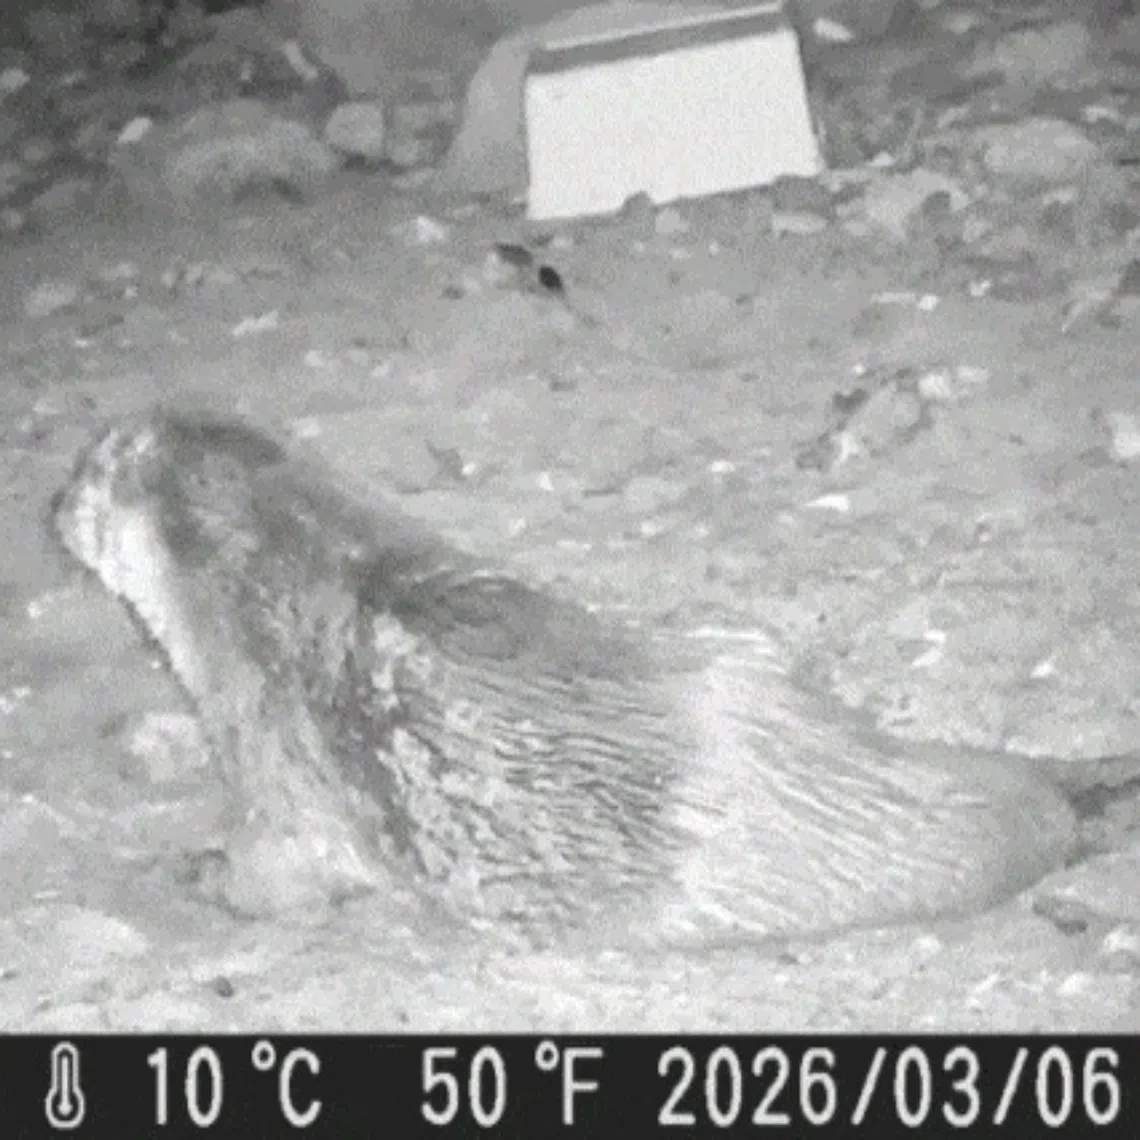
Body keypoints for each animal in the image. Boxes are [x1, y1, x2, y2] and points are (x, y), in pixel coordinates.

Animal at [50, 406, 1139, 946]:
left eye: (78, 479)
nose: (53, 510)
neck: (263, 572)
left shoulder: (271, 744)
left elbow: (272, 875)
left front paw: (198, 872)